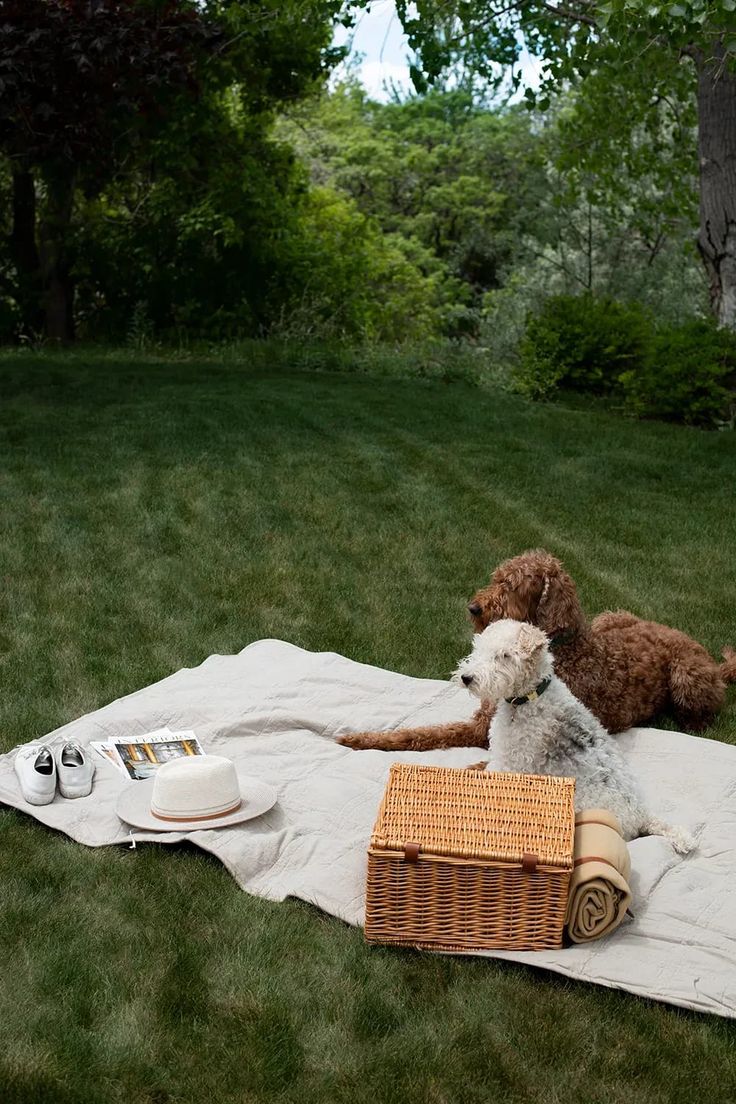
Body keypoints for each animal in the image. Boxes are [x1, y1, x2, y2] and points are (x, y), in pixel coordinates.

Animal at [342, 549, 736, 750]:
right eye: (496, 577)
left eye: (514, 586)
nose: (473, 607)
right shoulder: (481, 720)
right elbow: (418, 733)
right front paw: (364, 737)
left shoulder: (482, 730)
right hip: (612, 615)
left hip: (687, 678)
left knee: (703, 715)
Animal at [454, 622, 697, 852]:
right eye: (478, 647)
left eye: (505, 655)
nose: (467, 678)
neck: (530, 698)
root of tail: (640, 816)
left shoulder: (512, 762)